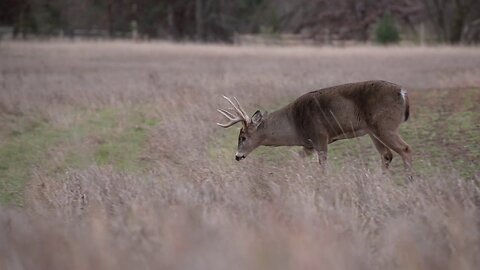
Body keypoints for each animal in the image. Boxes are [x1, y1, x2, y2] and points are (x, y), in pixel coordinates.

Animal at [216, 80, 410, 173]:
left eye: (243, 137)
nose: (237, 156)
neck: (294, 123)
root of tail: (402, 92)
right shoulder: (308, 145)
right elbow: (295, 159)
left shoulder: (320, 137)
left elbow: (322, 165)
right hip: (373, 131)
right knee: (387, 155)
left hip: (385, 126)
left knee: (405, 149)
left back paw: (409, 180)